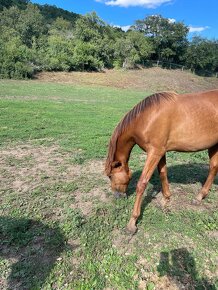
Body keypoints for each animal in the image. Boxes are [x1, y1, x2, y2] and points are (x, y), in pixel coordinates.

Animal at [105, 89, 218, 234]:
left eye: (110, 176)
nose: (117, 196)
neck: (147, 117)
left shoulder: (154, 152)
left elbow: (142, 183)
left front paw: (132, 222)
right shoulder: (160, 152)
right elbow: (163, 174)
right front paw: (165, 200)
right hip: (214, 145)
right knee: (213, 168)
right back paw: (199, 197)